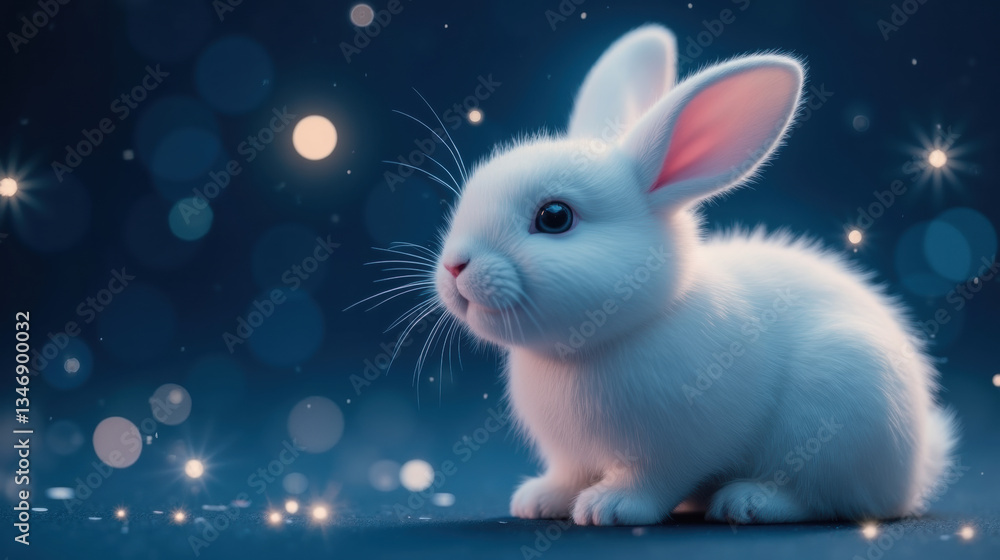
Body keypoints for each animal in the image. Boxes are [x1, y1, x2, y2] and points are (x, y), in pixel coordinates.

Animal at [429, 24, 958, 526]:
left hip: (839, 412)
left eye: (554, 217)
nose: (455, 266)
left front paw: (608, 508)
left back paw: (748, 502)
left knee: (827, 499)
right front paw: (539, 501)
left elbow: (653, 479)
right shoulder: (571, 456)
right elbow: (569, 475)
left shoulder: (676, 447)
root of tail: (915, 467)